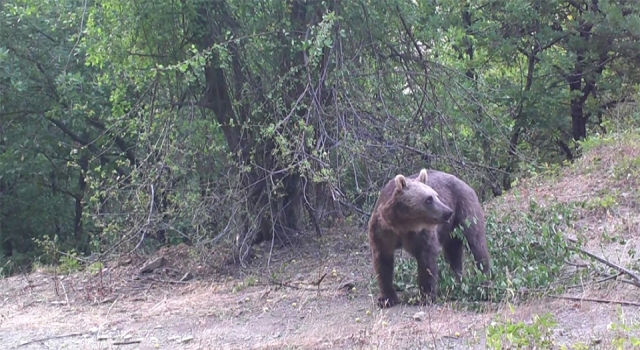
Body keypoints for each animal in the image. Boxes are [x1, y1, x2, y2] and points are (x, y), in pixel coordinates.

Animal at [368, 168, 492, 308]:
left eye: (436, 195)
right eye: (429, 199)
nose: (448, 212)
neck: (403, 224)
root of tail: (465, 183)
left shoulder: (421, 233)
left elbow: (426, 259)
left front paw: (425, 296)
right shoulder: (383, 231)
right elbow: (383, 262)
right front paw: (386, 298)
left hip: (465, 211)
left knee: (476, 243)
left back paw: (483, 280)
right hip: (451, 229)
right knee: (453, 252)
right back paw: (456, 280)